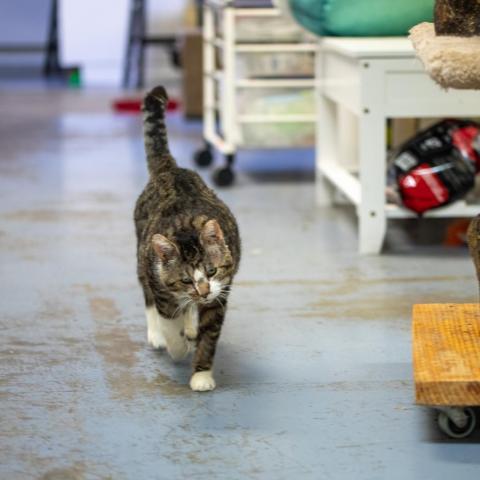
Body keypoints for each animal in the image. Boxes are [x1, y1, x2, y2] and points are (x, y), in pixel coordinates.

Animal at [134, 86, 240, 392]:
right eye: (184, 279)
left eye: (212, 270)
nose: (202, 291)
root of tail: (170, 169)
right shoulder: (161, 284)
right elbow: (169, 320)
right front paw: (177, 347)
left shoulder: (219, 295)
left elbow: (209, 336)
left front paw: (202, 375)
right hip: (141, 257)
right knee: (149, 299)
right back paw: (159, 333)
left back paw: (190, 325)